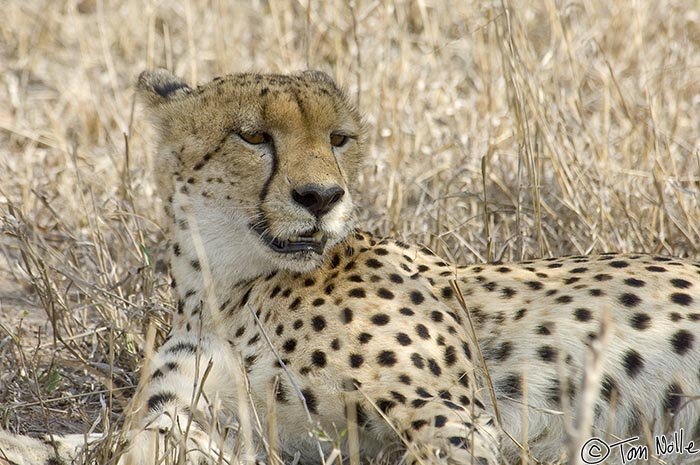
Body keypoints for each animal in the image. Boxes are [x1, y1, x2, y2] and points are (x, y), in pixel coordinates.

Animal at [1, 70, 700, 464]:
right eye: (253, 136)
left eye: (339, 139)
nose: (320, 197)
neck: (227, 287)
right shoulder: (197, 429)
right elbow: (100, 443)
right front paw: (23, 444)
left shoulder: (454, 418)